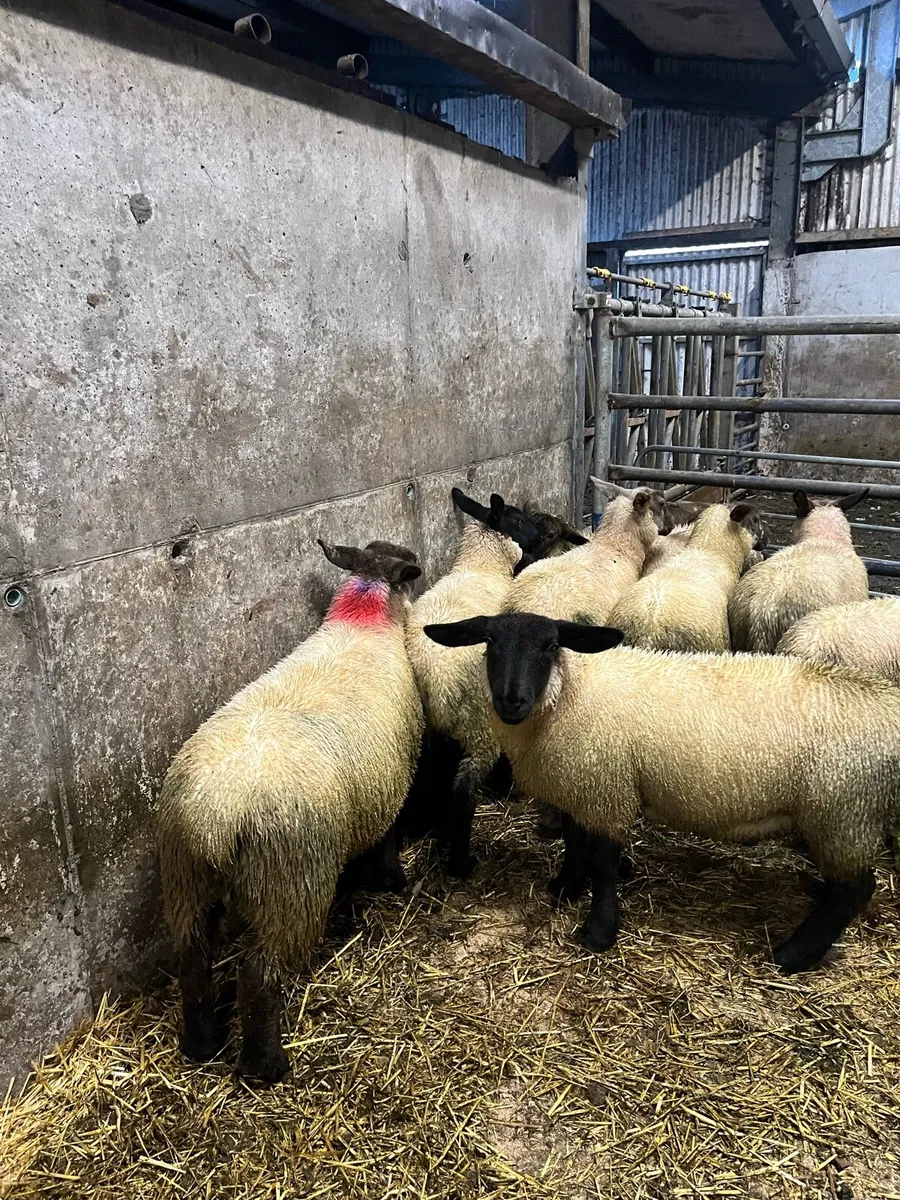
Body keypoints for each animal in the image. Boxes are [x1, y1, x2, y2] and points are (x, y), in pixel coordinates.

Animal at [159, 538, 424, 1083]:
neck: (364, 622)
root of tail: (216, 818)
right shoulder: (390, 782)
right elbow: (386, 838)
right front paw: (393, 880)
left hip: (185, 876)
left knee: (193, 959)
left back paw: (201, 1045)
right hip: (289, 882)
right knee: (259, 975)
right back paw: (267, 1065)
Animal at [425, 613, 900, 974]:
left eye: (550, 646)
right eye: (489, 643)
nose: (511, 701)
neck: (569, 694)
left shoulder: (607, 787)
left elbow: (603, 863)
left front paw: (598, 931)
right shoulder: (583, 784)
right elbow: (574, 842)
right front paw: (564, 889)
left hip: (842, 808)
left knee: (854, 889)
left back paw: (791, 956)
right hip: (842, 813)